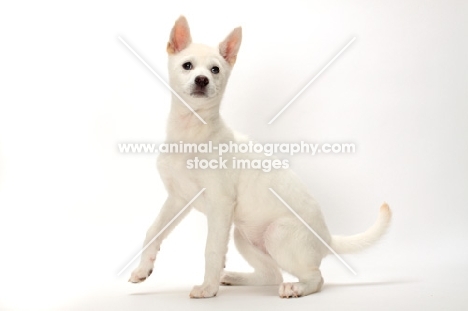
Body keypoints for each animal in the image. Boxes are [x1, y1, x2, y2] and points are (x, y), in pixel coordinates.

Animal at [129, 16, 392, 300]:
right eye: (187, 65)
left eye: (215, 70)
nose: (201, 80)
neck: (191, 132)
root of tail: (328, 238)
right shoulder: (178, 199)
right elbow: (153, 231)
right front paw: (143, 269)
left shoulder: (220, 205)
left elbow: (211, 249)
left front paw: (207, 289)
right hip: (244, 236)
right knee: (271, 274)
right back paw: (233, 276)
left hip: (277, 234)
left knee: (316, 278)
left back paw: (295, 288)